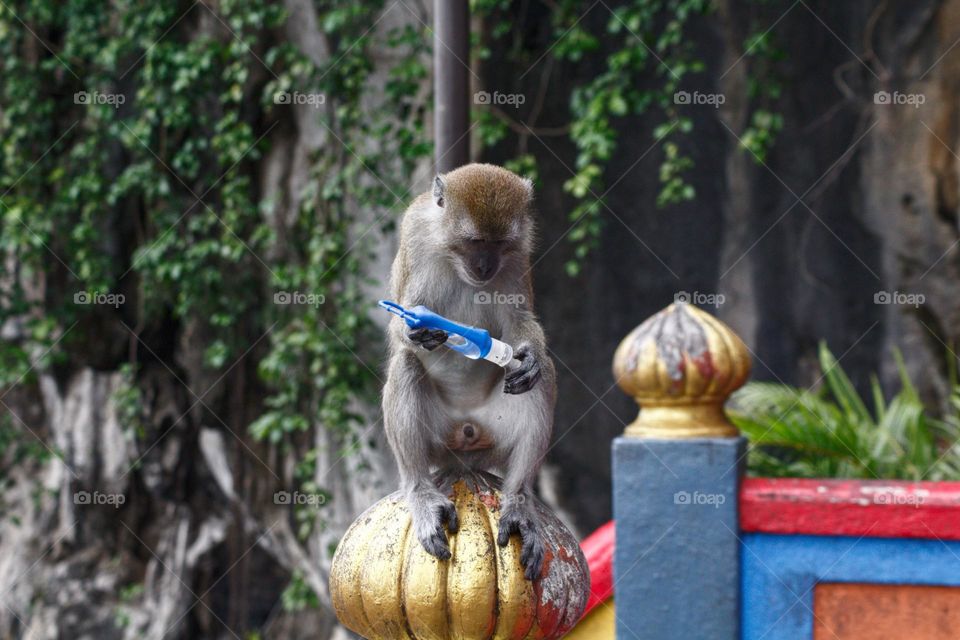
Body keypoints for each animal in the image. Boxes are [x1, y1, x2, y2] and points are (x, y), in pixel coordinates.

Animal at [382, 164, 556, 580]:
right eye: (474, 241)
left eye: (499, 243)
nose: (484, 267)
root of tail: (464, 442)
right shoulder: (414, 237)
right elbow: (402, 325)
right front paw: (415, 329)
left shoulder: (518, 255)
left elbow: (520, 322)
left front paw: (530, 355)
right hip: (438, 439)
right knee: (406, 364)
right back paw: (421, 494)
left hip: (492, 436)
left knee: (540, 379)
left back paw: (518, 501)